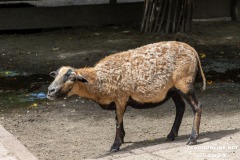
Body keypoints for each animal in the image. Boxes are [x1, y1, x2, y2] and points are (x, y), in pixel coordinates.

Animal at [47, 41, 206, 151]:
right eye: (55, 75)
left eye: (71, 78)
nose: (50, 91)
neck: (100, 79)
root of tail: (193, 51)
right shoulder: (118, 101)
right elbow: (118, 120)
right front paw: (122, 139)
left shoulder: (121, 98)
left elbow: (118, 121)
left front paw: (115, 145)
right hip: (173, 89)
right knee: (180, 107)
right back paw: (171, 135)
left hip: (184, 83)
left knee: (197, 107)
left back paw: (192, 138)